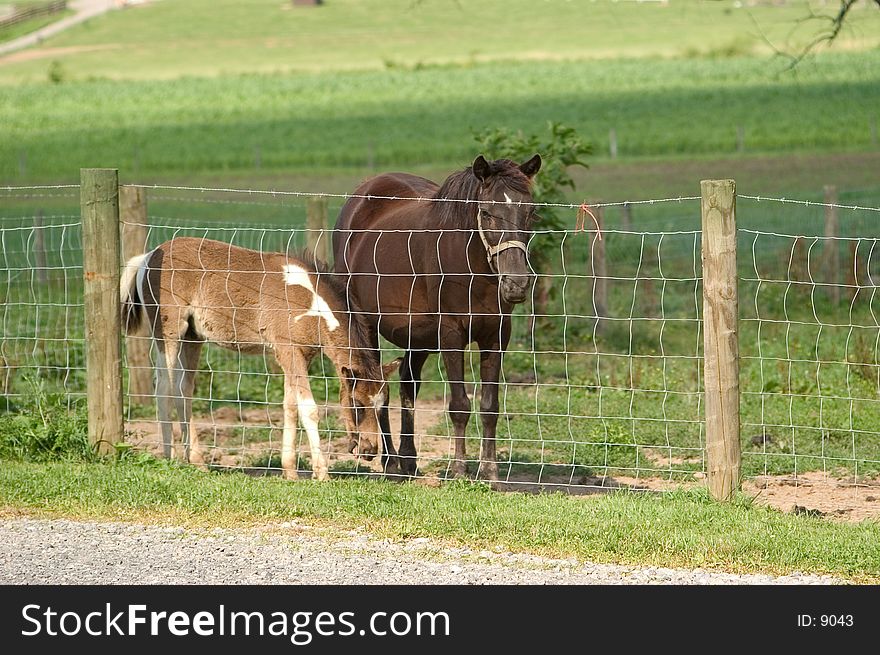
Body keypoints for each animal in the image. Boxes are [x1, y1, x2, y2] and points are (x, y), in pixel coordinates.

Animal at [334, 155, 540, 482]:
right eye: (486, 212)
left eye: (530, 212)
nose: (516, 283)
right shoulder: (451, 334)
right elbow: (459, 405)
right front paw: (458, 470)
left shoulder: (496, 335)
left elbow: (490, 405)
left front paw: (490, 471)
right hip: (365, 324)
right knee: (378, 387)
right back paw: (390, 463)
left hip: (416, 336)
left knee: (408, 384)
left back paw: (408, 460)